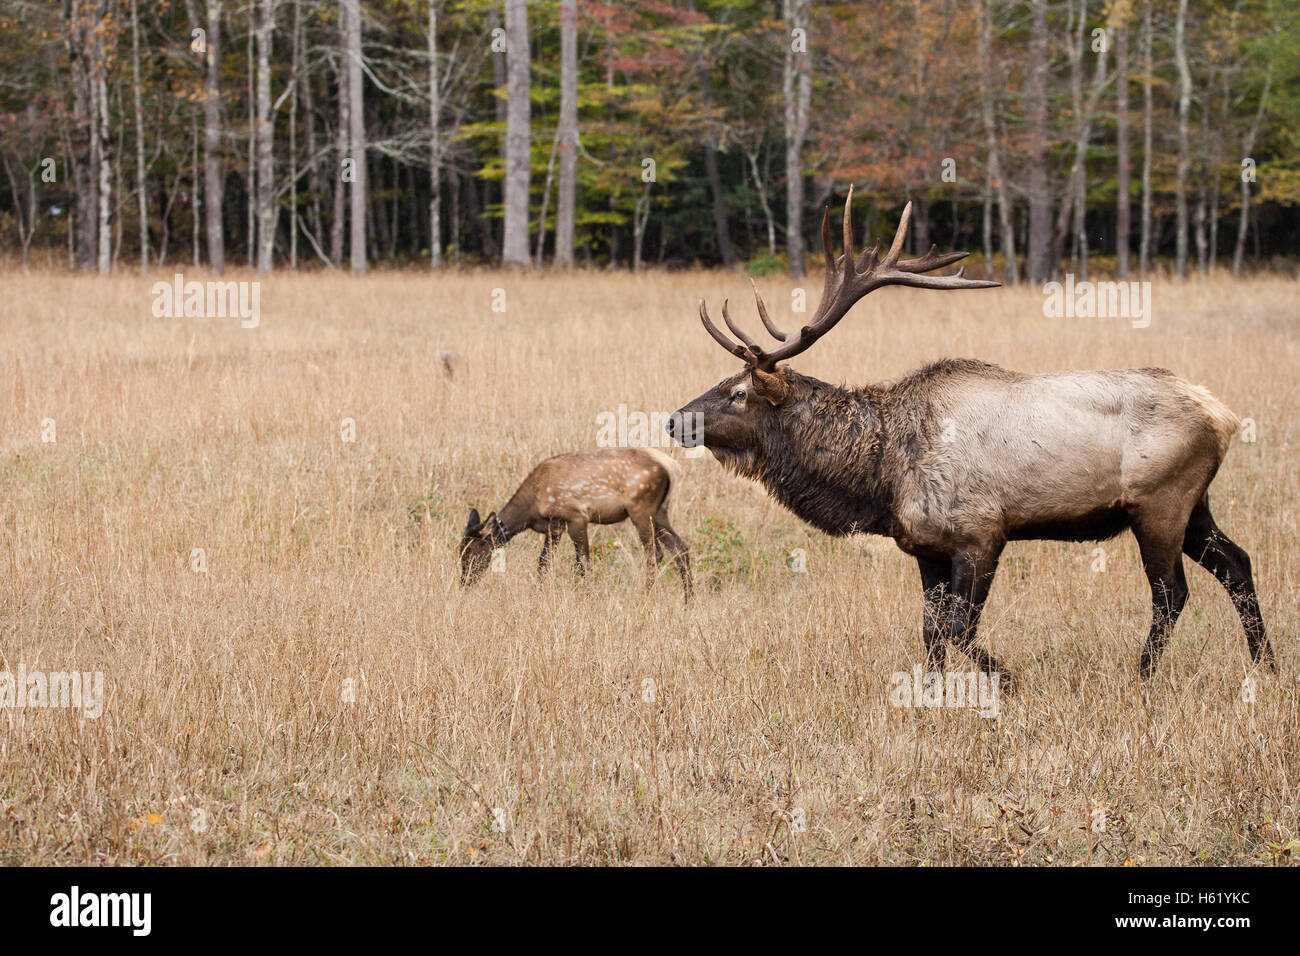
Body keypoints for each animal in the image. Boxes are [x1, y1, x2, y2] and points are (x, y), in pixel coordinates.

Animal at [459, 447, 692, 599]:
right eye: (460, 551)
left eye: (473, 553)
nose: (464, 583)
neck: (533, 507)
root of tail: (672, 467)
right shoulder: (553, 527)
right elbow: (543, 562)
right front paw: (538, 595)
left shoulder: (576, 516)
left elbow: (583, 561)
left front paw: (587, 597)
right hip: (660, 511)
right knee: (680, 548)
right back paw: (689, 599)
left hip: (641, 507)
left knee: (654, 552)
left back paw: (648, 596)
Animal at [667, 185, 1274, 690]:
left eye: (737, 393)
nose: (674, 420)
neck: (880, 477)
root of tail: (1223, 414)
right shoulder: (925, 546)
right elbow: (931, 631)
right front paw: (933, 695)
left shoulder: (981, 534)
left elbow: (957, 629)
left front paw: (1013, 683)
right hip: (1195, 503)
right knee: (1237, 563)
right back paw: (1265, 665)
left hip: (1160, 502)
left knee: (1172, 593)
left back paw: (1142, 677)